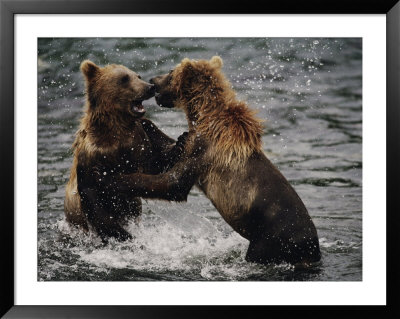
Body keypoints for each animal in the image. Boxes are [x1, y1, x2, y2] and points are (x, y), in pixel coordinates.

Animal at [64, 60, 186, 242]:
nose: (150, 87)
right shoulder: (92, 157)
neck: (118, 128)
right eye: (124, 78)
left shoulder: (141, 137)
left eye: (138, 76)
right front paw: (125, 235)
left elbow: (156, 162)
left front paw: (181, 141)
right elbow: (95, 202)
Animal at [104, 57, 320, 264]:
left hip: (271, 238)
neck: (203, 116)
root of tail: (312, 248)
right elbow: (173, 151)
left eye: (171, 72)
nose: (153, 80)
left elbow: (174, 182)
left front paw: (114, 180)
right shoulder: (196, 142)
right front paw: (148, 124)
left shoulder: (204, 150)